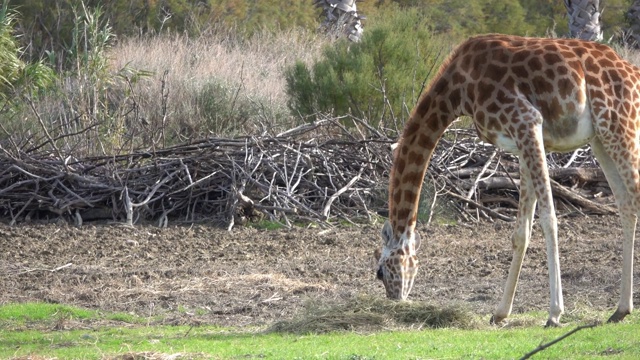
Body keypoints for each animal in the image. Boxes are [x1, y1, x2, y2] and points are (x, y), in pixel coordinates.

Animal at [376, 33, 640, 326]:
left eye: (380, 272)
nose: (394, 299)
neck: (458, 90)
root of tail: (634, 73)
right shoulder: (523, 140)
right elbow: (521, 231)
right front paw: (500, 313)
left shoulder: (526, 120)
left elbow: (549, 218)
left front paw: (554, 313)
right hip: (600, 138)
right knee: (626, 205)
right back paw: (621, 309)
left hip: (620, 126)